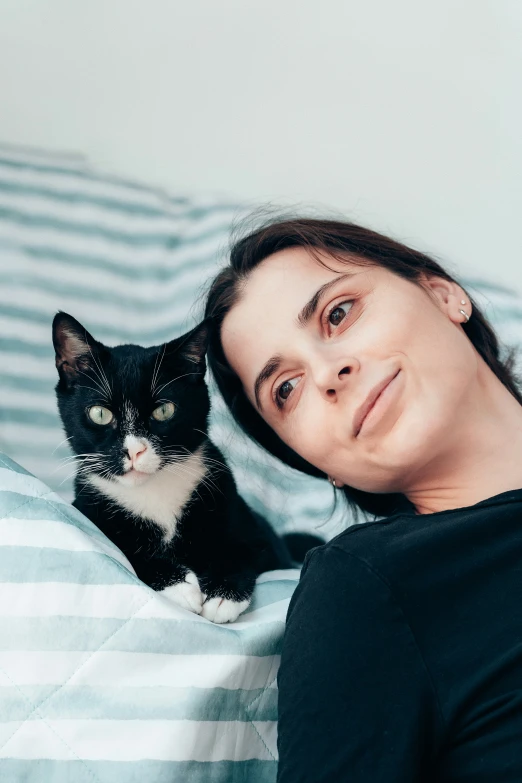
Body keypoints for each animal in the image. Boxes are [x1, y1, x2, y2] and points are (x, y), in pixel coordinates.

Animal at [53, 312, 320, 624]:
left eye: (164, 410)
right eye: (99, 413)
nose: (135, 450)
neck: (154, 493)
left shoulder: (250, 526)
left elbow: (242, 549)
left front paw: (222, 595)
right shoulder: (90, 510)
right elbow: (126, 550)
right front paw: (179, 586)